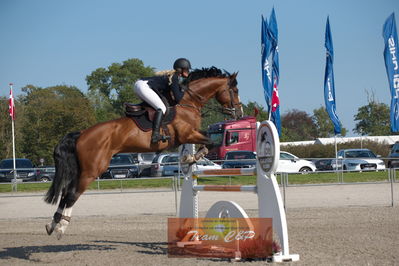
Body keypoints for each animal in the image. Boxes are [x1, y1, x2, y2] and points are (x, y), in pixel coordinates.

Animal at [43, 66, 244, 239]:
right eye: (234, 90)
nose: (239, 113)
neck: (188, 103)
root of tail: (81, 134)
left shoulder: (190, 135)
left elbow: (207, 139)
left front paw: (191, 157)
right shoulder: (187, 134)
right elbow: (209, 141)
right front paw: (193, 156)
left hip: (82, 170)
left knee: (66, 192)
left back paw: (52, 225)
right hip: (92, 171)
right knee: (72, 194)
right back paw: (61, 227)